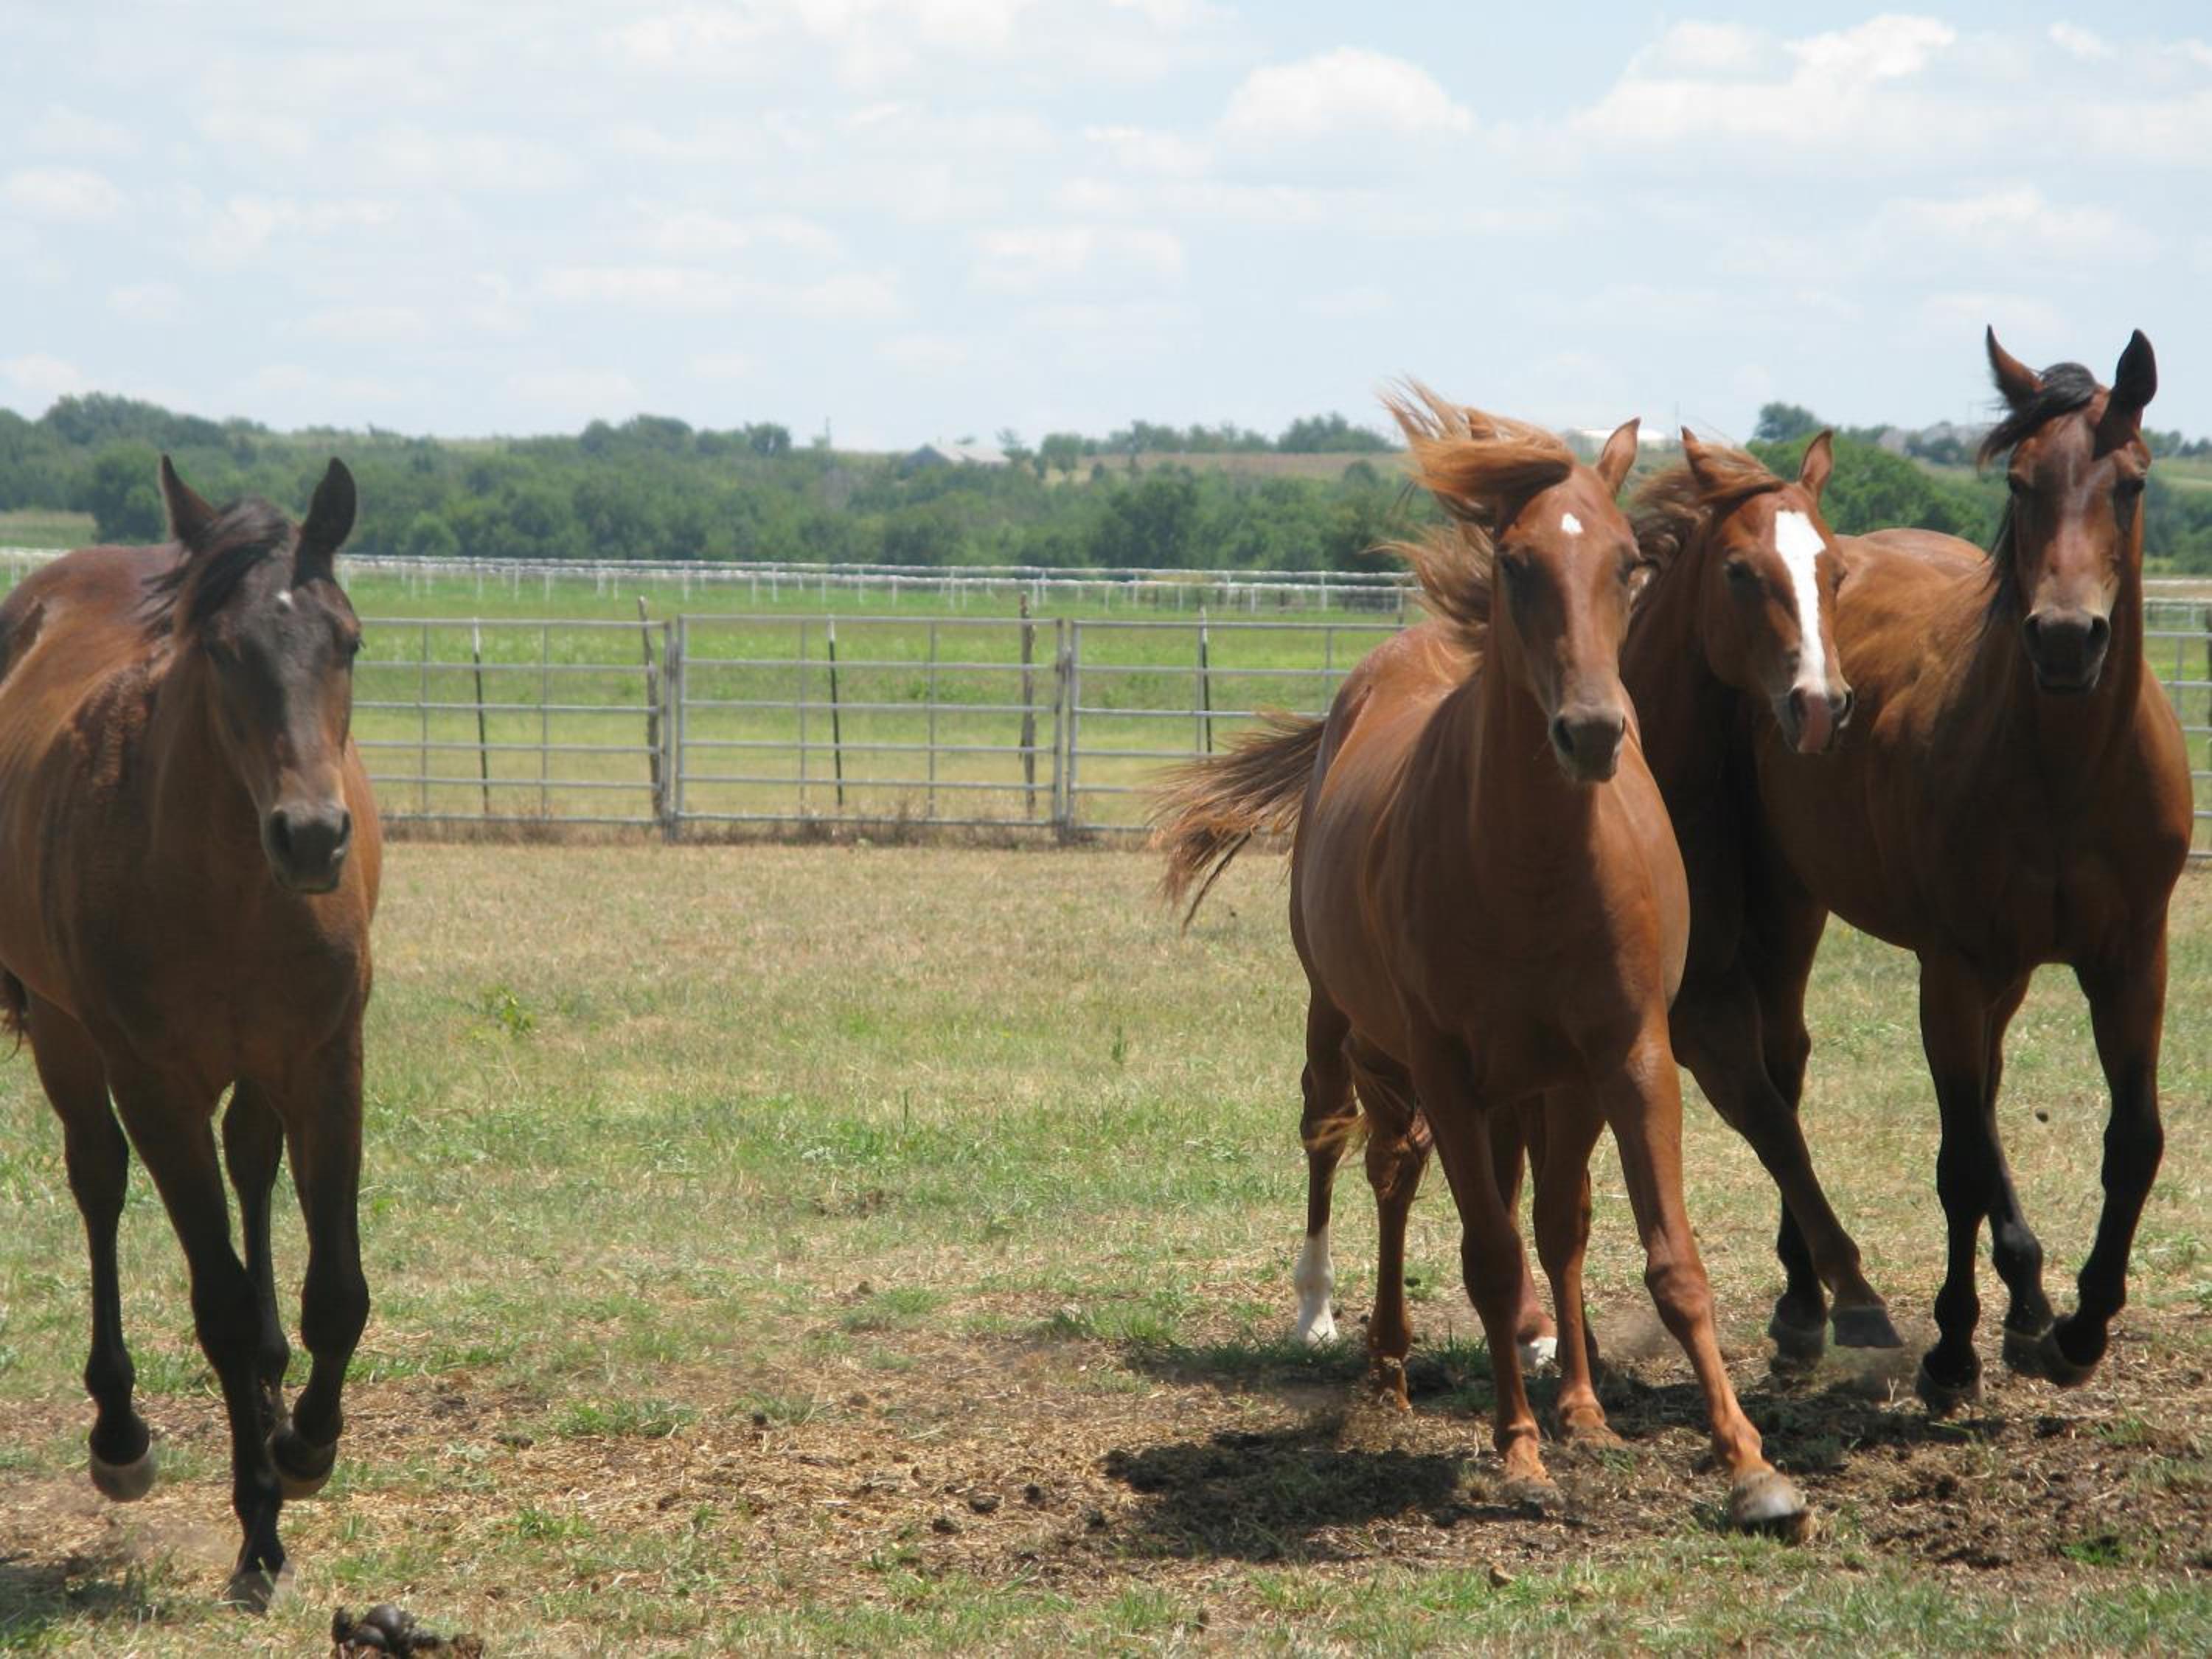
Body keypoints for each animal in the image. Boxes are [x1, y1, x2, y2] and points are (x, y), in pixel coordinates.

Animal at [0, 456, 381, 1606]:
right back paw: (120, 1434)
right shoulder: (154, 1083)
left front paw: (303, 1446)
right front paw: (258, 1528)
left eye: (348, 640)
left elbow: (335, 1291)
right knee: (98, 1180)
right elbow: (213, 1301)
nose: (311, 836)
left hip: (259, 1069)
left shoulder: (326, 1061)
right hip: (72, 1040)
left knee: (252, 1168)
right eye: (221, 649)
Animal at [1153, 389, 1808, 1534]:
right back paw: (1360, 1343)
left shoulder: (1630, 1057)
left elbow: (1655, 1254)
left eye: (1631, 561)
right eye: (1515, 563)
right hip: (1353, 1030)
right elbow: (1490, 1258)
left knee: (1537, 1213)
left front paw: (1745, 1461)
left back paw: (1573, 1396)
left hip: (1540, 1082)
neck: (1534, 861)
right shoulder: (1449, 1069)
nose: (1592, 729)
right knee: (1364, 1158)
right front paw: (1519, 1453)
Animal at [1675, 329, 2190, 1408]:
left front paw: (2079, 1328)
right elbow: (1958, 1161)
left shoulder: (2132, 960)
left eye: (2129, 483)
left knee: (1976, 1090)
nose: (2067, 638)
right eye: (2023, 484)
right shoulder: (1953, 964)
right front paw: (1952, 1348)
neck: (2066, 769)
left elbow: (2132, 1140)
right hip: (1794, 906)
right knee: (1784, 1070)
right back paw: (1808, 1305)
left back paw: (2028, 1305)